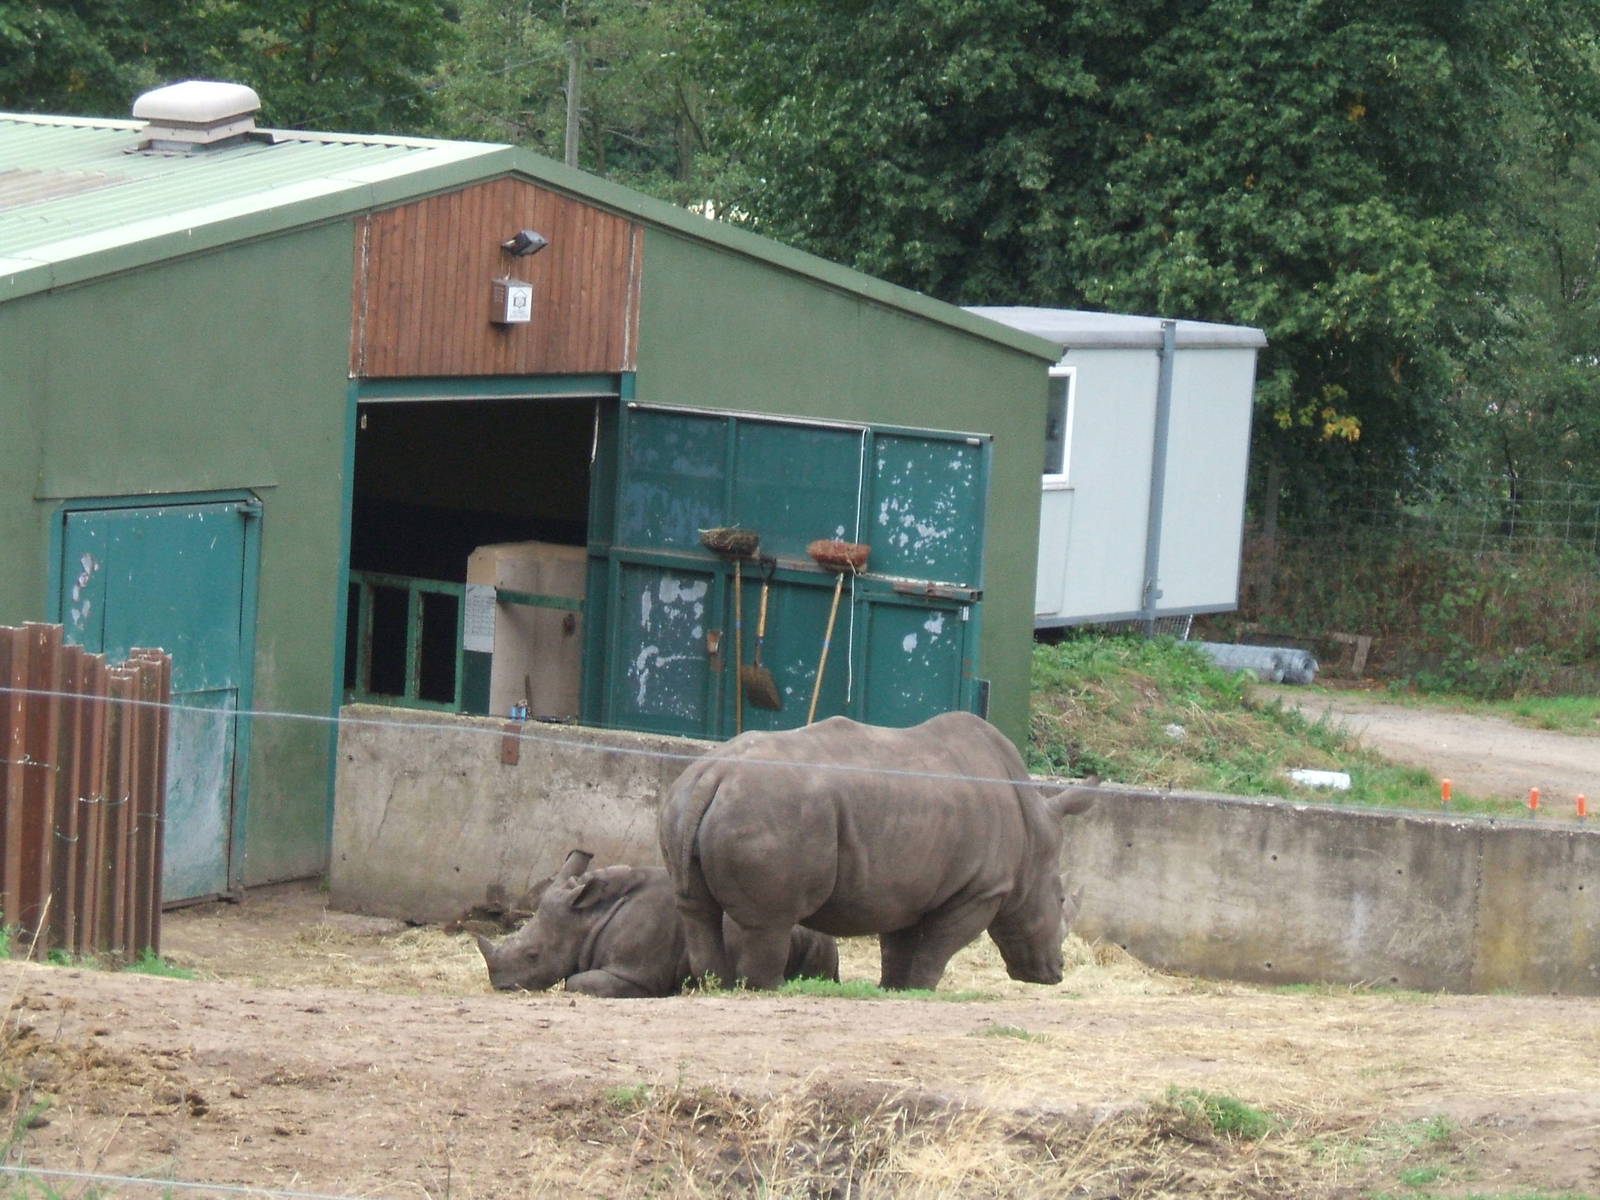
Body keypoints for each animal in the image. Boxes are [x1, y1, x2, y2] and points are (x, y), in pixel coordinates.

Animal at [658, 712, 1097, 992]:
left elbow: (899, 945)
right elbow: (938, 947)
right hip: (770, 809)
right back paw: (773, 988)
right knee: (770, 922)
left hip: (685, 801)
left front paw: (893, 989)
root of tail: (714, 773)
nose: (1056, 972)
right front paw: (921, 992)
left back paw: (717, 985)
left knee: (698, 911)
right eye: (1060, 900)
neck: (1034, 835)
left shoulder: (905, 888)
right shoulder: (981, 890)